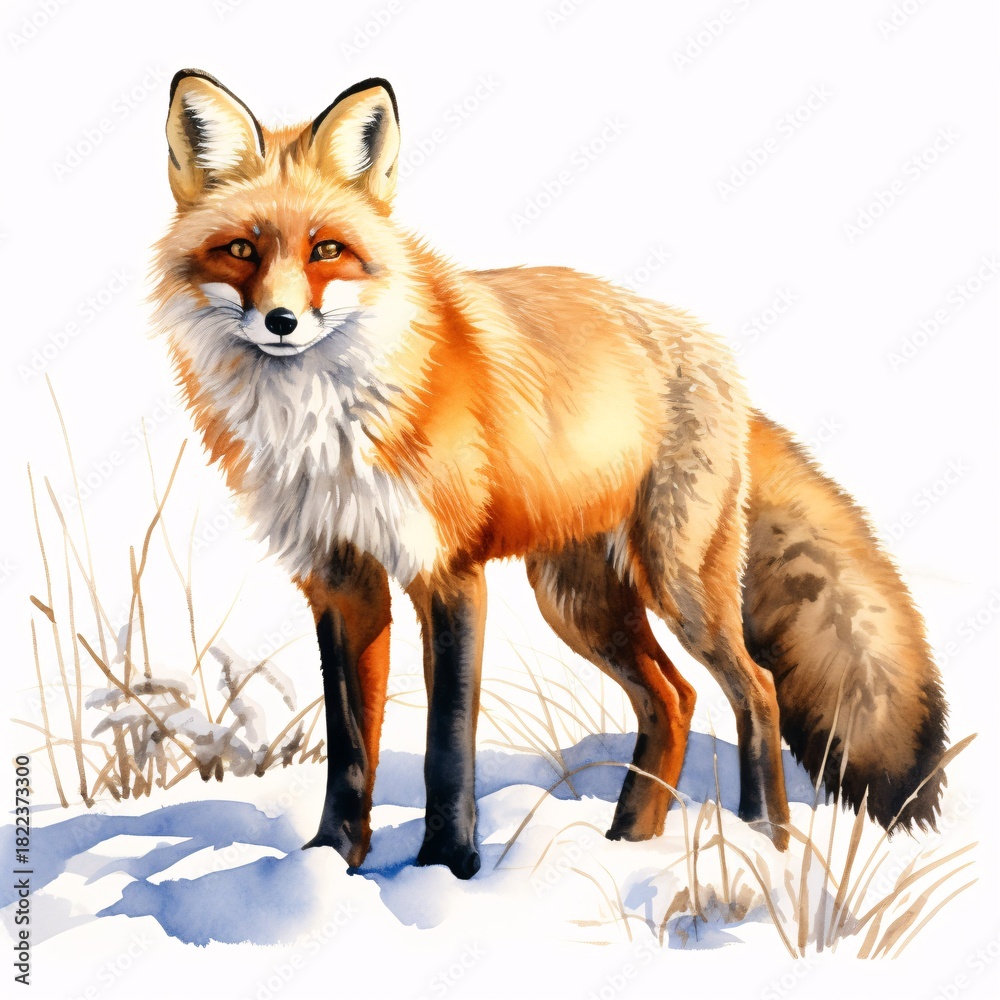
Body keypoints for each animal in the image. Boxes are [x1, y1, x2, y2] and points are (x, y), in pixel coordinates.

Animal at [153, 69, 949, 880]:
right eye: (240, 249)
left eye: (327, 249)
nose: (281, 321)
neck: (327, 423)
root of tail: (708, 349)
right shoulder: (340, 578)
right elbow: (349, 747)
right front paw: (329, 863)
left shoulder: (447, 571)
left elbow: (447, 744)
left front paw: (448, 864)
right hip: (579, 602)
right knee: (674, 699)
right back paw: (630, 842)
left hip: (678, 581)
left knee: (753, 688)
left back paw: (762, 839)